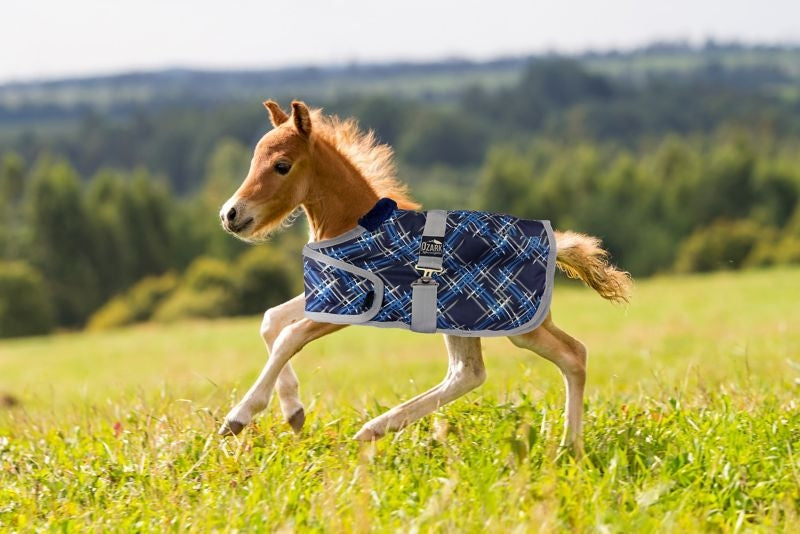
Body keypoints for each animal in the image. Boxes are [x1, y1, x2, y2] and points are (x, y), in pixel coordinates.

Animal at [217, 100, 631, 454]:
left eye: (282, 165)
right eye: (253, 161)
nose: (231, 214)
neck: (354, 225)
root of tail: (553, 244)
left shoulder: (358, 303)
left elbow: (289, 336)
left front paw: (238, 418)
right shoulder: (328, 294)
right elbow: (271, 321)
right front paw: (293, 411)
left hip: (515, 323)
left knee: (571, 355)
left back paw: (569, 448)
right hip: (461, 320)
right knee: (471, 372)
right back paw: (375, 429)